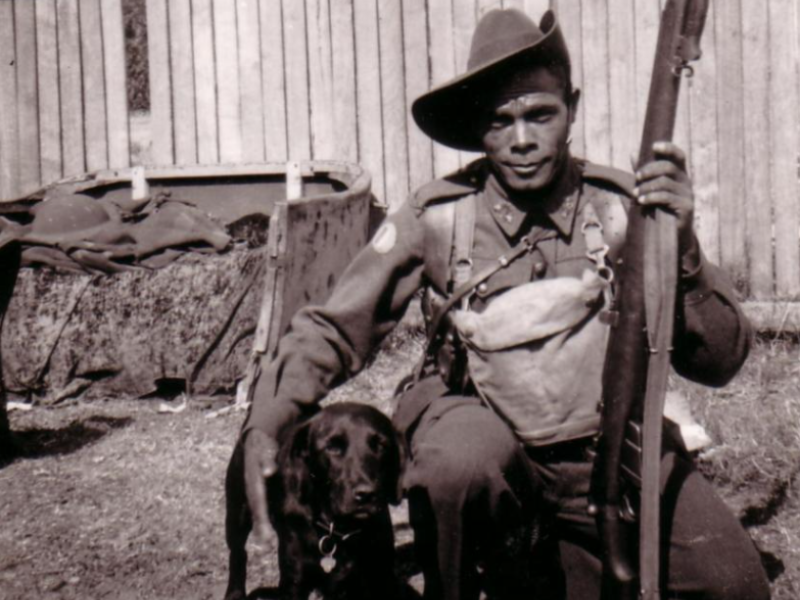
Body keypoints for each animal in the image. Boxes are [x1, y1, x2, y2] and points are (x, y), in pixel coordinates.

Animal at [223, 404, 406, 600]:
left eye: (380, 445)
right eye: (332, 447)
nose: (365, 494)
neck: (339, 530)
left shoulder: (379, 577)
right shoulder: (295, 580)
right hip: (238, 514)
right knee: (238, 554)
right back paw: (234, 593)